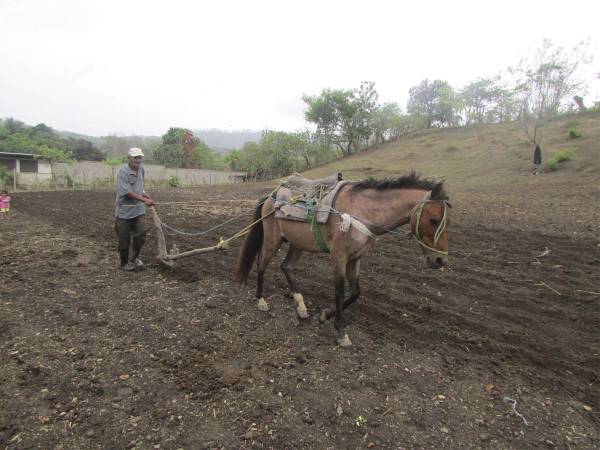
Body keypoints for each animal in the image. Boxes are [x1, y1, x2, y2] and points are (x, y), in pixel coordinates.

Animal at [234, 171, 450, 344]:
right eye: (434, 220)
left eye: (448, 222)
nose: (440, 260)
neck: (361, 212)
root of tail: (271, 196)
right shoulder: (339, 257)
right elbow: (339, 292)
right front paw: (340, 331)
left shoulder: (355, 259)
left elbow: (355, 293)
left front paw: (325, 315)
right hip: (273, 240)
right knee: (262, 265)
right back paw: (261, 301)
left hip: (297, 244)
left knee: (286, 267)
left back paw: (301, 306)